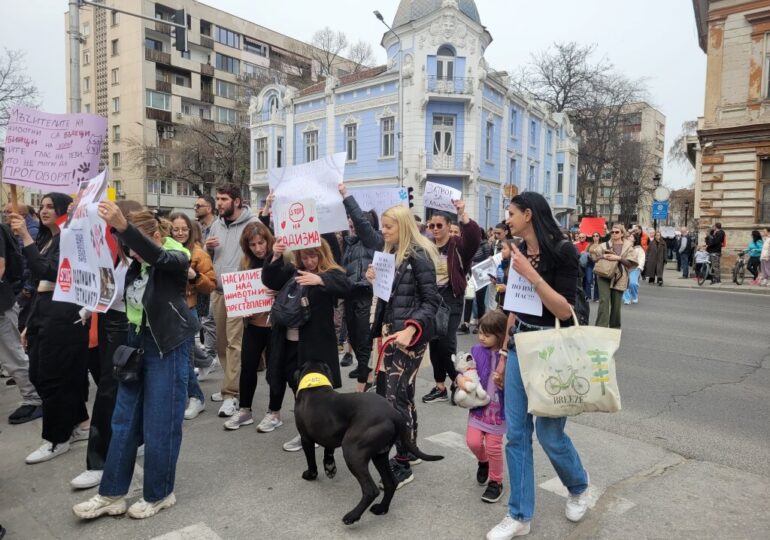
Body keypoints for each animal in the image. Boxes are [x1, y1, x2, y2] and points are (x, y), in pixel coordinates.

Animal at [292, 362, 440, 524]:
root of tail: (394, 414)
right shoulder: (329, 435)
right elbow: (328, 450)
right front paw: (330, 467)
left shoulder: (305, 438)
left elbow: (311, 461)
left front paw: (310, 475)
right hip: (379, 455)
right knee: (390, 483)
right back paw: (381, 509)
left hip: (352, 452)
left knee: (370, 490)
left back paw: (352, 516)